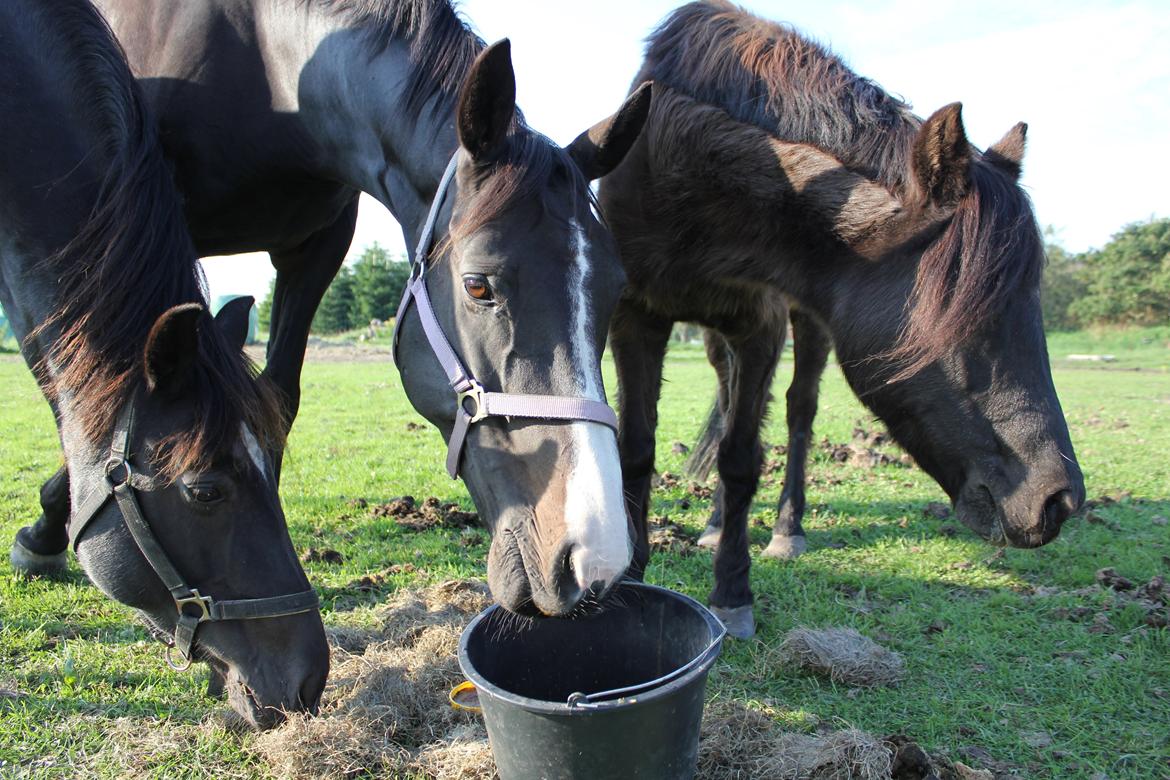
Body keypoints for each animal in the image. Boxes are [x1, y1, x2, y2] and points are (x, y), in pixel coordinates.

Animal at [11, 1, 650, 622]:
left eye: (615, 291)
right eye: (477, 286)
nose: (593, 558)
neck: (268, 67)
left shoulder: (317, 246)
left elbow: (277, 395)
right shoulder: (138, 216)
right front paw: (48, 528)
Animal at [603, 0, 1085, 636]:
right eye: (968, 319)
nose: (1060, 501)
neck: (684, 167)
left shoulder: (761, 326)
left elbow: (740, 458)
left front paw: (732, 593)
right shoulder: (637, 317)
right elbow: (638, 448)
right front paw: (634, 578)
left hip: (804, 326)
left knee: (797, 413)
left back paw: (787, 531)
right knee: (729, 400)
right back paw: (714, 524)